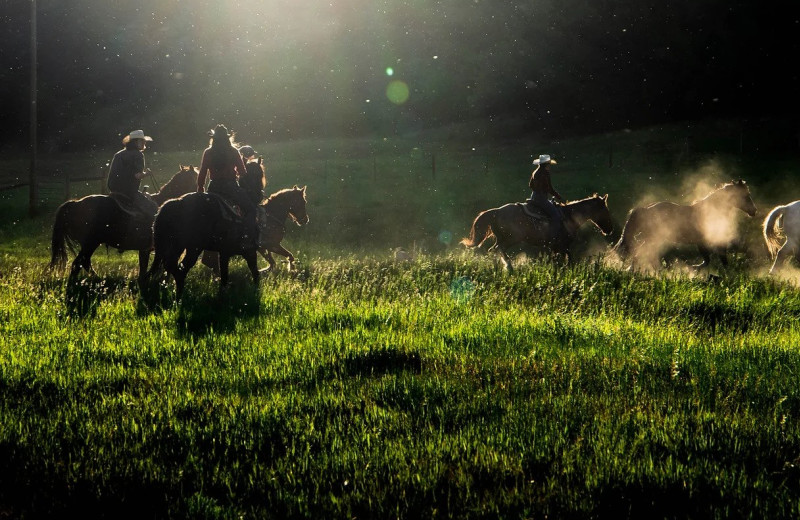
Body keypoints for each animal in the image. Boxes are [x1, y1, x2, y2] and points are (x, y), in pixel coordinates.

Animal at [49, 166, 199, 280]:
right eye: (196, 178)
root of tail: (75, 204)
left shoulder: (145, 250)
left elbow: (145, 268)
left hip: (89, 244)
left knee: (84, 263)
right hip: (90, 243)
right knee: (78, 264)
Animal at [145, 185, 308, 298]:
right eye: (303, 202)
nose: (304, 220)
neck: (271, 216)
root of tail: (178, 203)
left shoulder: (258, 249)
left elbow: (274, 262)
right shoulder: (269, 246)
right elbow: (285, 257)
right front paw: (289, 269)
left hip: (177, 246)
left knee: (169, 265)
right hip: (191, 248)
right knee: (178, 266)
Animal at [612, 180, 756, 272]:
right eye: (746, 196)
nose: (754, 211)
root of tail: (645, 209)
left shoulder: (704, 242)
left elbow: (709, 260)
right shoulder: (706, 241)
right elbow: (713, 260)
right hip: (652, 238)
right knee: (641, 252)